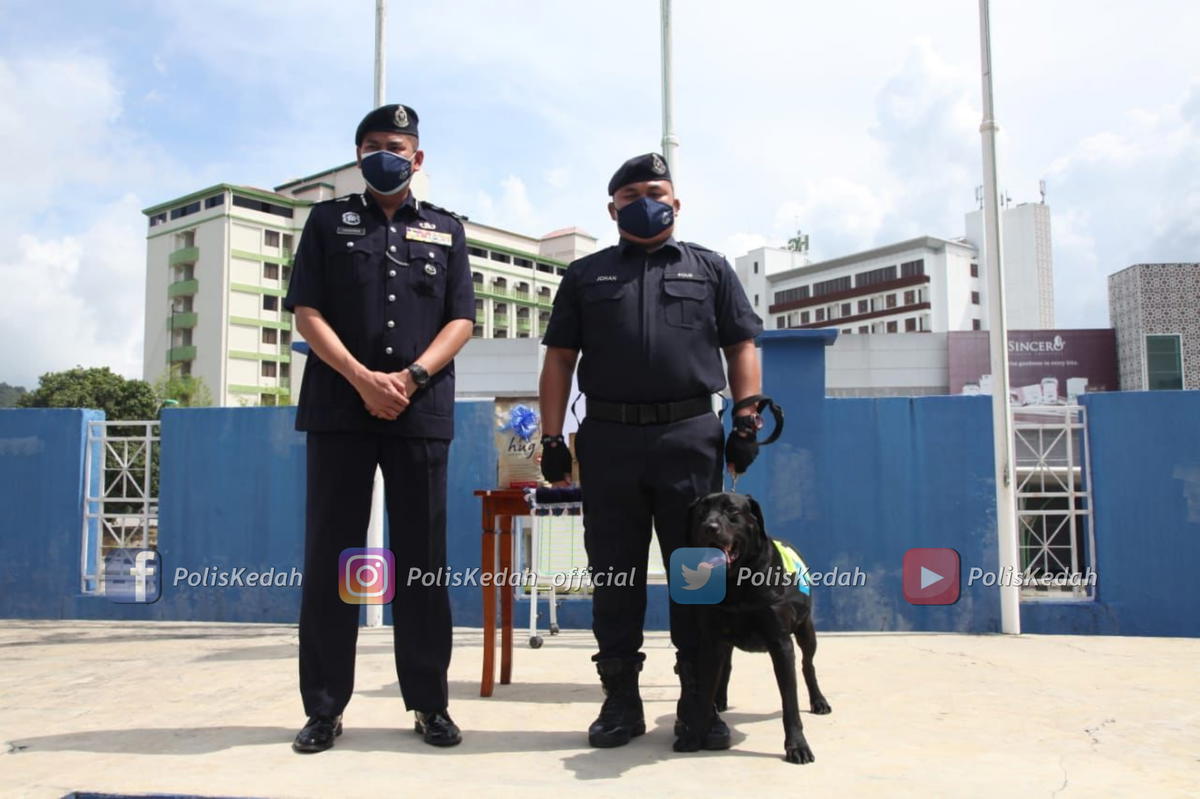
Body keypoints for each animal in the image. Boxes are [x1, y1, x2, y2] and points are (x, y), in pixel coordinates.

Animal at [676, 491, 835, 758]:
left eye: (732, 511)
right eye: (701, 512)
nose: (709, 527)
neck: (736, 583)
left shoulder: (781, 644)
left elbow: (789, 703)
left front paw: (797, 746)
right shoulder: (712, 642)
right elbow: (703, 695)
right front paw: (694, 735)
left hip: (806, 629)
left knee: (808, 665)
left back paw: (818, 701)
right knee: (726, 668)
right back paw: (720, 700)